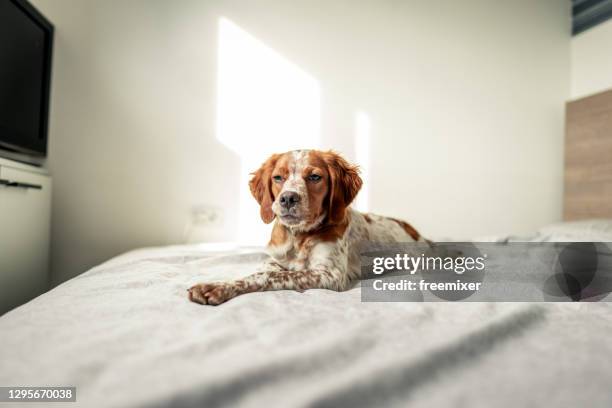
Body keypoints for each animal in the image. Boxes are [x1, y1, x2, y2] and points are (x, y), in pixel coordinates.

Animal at [188, 150, 426, 306]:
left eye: (314, 176)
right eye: (278, 177)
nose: (288, 198)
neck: (298, 236)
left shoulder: (330, 273)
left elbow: (268, 276)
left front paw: (216, 287)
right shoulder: (273, 259)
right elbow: (265, 270)